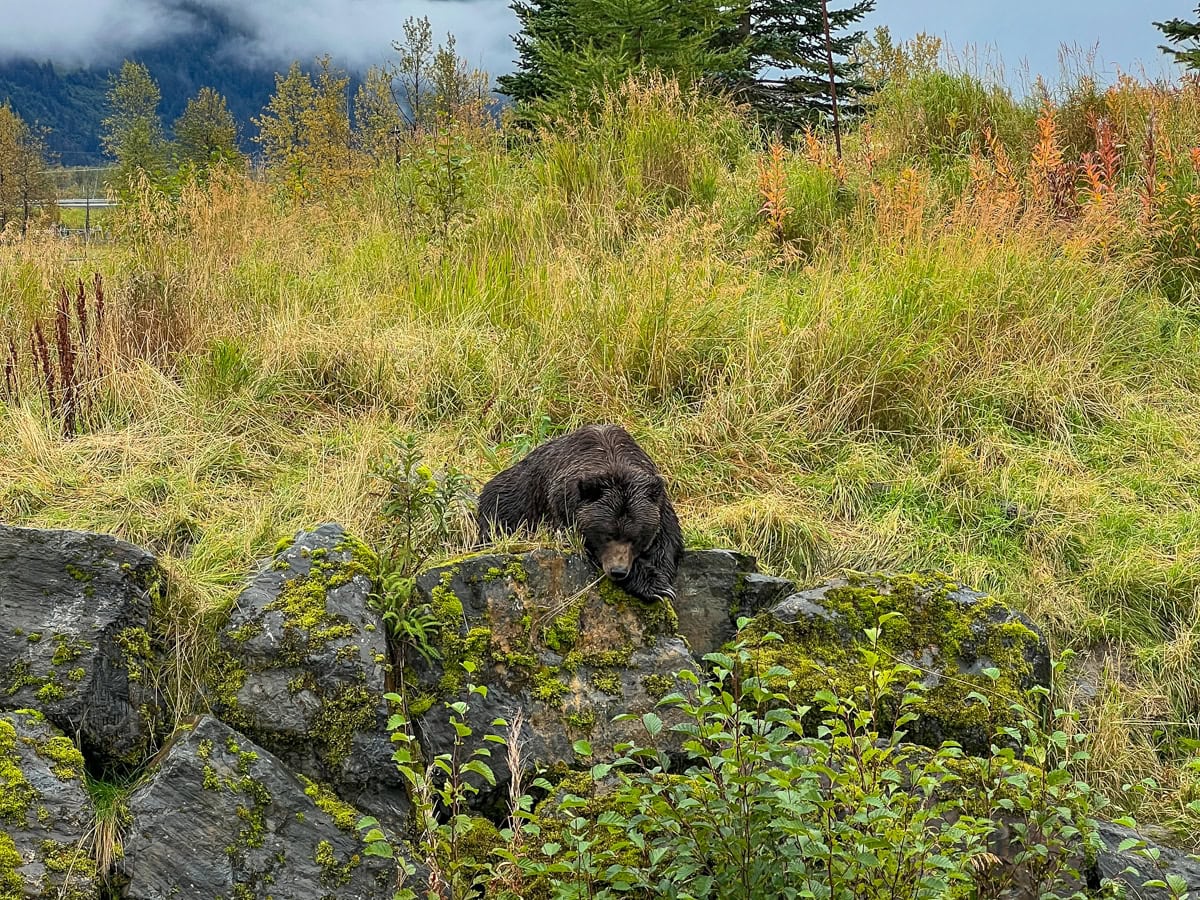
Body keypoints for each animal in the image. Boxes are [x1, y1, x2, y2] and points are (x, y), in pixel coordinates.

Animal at [477, 424, 686, 607]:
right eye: (607, 535)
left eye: (635, 538)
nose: (618, 571)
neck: (611, 457)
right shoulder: (562, 506)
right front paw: (654, 585)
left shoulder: (659, 504)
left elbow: (667, 540)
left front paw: (662, 581)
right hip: (508, 500)